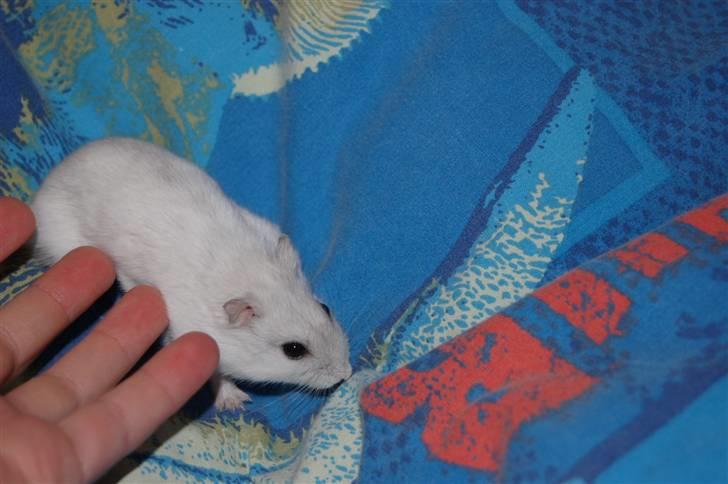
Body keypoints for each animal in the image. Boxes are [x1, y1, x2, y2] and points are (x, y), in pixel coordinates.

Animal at [31, 138, 352, 409]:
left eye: (325, 309)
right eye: (294, 350)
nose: (346, 373)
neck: (247, 273)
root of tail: (52, 177)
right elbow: (218, 375)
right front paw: (237, 403)